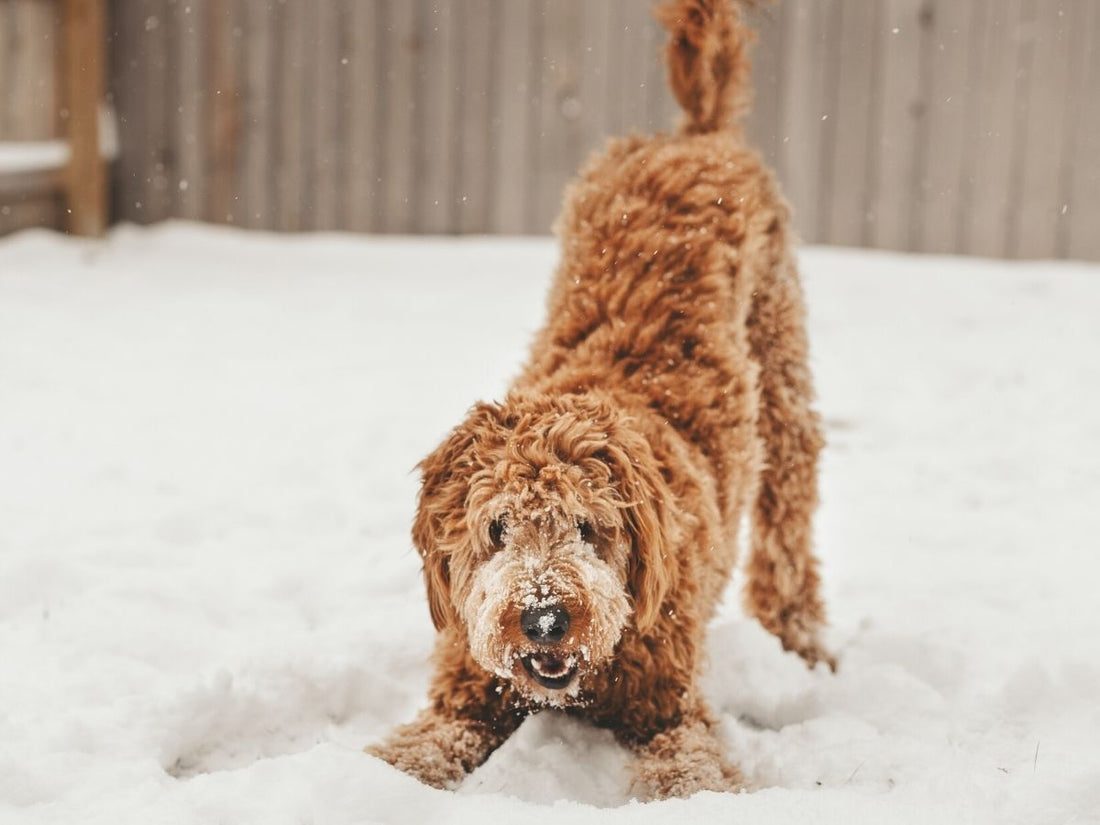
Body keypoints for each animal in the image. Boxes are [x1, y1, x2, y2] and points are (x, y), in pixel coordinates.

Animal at [365, 0, 827, 800]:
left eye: (588, 526)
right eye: (496, 529)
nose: (546, 619)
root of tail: (695, 134)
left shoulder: (673, 707)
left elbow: (691, 771)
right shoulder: (463, 691)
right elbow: (418, 748)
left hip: (781, 361)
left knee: (789, 519)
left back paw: (801, 642)